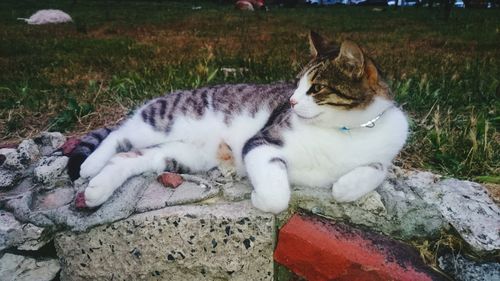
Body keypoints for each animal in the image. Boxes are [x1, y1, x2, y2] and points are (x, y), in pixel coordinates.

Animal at [69, 31, 406, 213]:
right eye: (297, 84)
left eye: (317, 88)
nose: (292, 101)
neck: (344, 130)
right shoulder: (261, 142)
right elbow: (276, 196)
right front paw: (259, 197)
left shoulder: (384, 153)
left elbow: (379, 170)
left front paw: (345, 186)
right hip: (162, 120)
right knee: (118, 135)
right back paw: (90, 165)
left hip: (183, 155)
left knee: (130, 157)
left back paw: (97, 190)